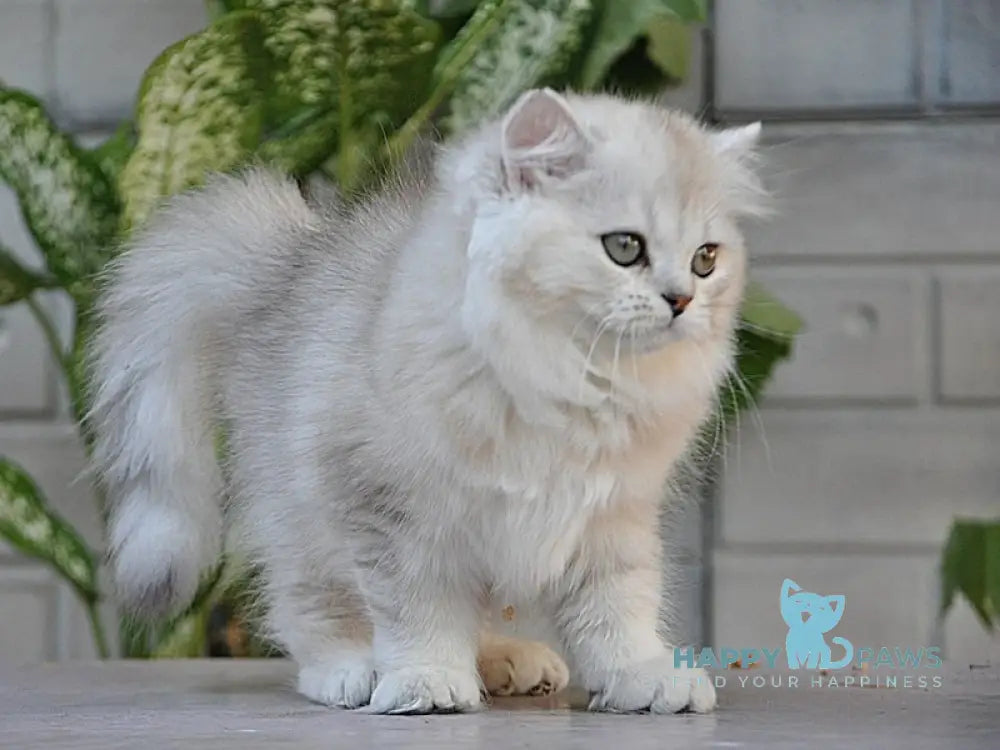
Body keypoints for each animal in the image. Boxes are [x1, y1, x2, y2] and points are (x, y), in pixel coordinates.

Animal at [90, 89, 760, 716]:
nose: (682, 301)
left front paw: (642, 676)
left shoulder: (611, 514)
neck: (571, 374)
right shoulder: (395, 514)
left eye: (705, 259)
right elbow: (419, 614)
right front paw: (425, 681)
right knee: (309, 608)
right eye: (625, 247)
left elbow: (618, 609)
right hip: (303, 521)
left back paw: (506, 662)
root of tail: (286, 269)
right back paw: (353, 670)